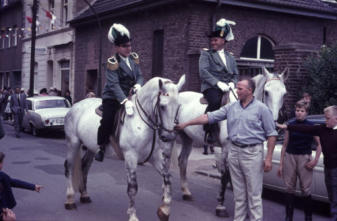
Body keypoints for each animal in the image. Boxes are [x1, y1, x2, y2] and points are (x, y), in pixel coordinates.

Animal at [62, 75, 184, 221]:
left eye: (178, 106)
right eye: (162, 106)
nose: (169, 136)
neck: (141, 122)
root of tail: (75, 106)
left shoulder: (155, 158)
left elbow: (168, 179)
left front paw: (164, 211)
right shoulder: (130, 157)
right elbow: (132, 188)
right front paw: (132, 215)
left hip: (91, 148)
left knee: (84, 167)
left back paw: (84, 195)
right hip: (73, 143)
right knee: (69, 168)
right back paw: (69, 200)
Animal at [175, 67, 288, 216]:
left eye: (284, 94)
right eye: (266, 92)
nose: (275, 124)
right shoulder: (226, 148)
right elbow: (225, 175)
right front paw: (220, 206)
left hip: (187, 138)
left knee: (182, 161)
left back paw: (186, 192)